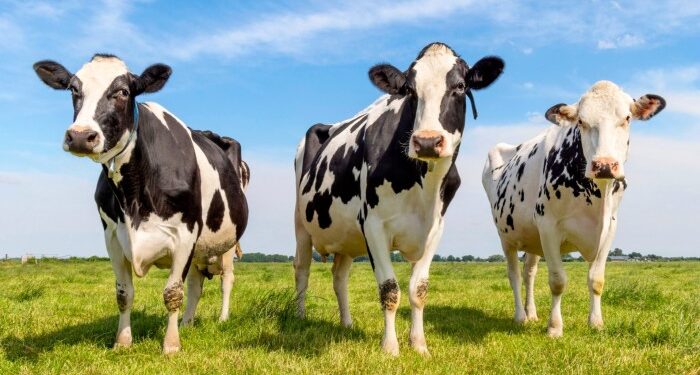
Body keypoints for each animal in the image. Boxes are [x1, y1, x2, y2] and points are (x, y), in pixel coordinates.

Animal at [34, 54, 252, 354]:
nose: (79, 136)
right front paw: (123, 341)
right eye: (73, 89)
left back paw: (221, 318)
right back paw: (187, 324)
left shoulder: (185, 234)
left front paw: (170, 346)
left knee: (226, 280)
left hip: (227, 243)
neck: (133, 195)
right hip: (200, 249)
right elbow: (124, 293)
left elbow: (172, 293)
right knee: (196, 286)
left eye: (124, 92)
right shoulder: (113, 236)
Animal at [294, 42, 504, 356]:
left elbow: (419, 289)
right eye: (410, 91)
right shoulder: (373, 225)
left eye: (460, 86)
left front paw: (419, 345)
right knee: (302, 269)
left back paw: (347, 323)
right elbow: (389, 289)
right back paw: (298, 317)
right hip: (301, 224)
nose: (427, 141)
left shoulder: (435, 228)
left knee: (339, 276)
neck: (423, 186)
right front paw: (390, 348)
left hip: (346, 237)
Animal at [484, 80, 664, 338]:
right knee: (514, 275)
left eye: (627, 118)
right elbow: (558, 280)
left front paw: (596, 323)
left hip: (532, 238)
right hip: (506, 236)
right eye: (581, 121)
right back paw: (520, 317)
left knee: (529, 273)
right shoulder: (548, 225)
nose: (604, 165)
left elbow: (596, 280)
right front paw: (554, 327)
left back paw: (532, 314)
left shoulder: (610, 227)